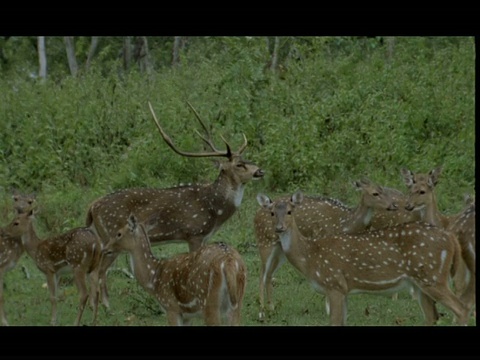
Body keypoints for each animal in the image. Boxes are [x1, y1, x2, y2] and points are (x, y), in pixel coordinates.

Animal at [87, 102, 266, 310]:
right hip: (110, 235)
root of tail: (92, 207)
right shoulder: (194, 232)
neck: (214, 210)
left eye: (246, 159)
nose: (260, 171)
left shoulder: (204, 236)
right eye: (238, 165)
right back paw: (104, 307)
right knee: (98, 271)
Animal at [104, 214, 248, 326]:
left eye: (118, 233)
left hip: (209, 302)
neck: (154, 278)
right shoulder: (187, 315)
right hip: (237, 302)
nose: (106, 249)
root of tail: (229, 261)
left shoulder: (171, 307)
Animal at [253, 178, 414, 320]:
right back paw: (261, 311)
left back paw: (272, 307)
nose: (394, 205)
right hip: (265, 241)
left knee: (269, 274)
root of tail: (255, 216)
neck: (344, 223)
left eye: (384, 190)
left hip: (279, 250)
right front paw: (328, 309)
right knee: (261, 273)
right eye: (375, 193)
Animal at [256, 191, 470, 326]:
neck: (310, 257)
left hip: (432, 276)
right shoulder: (344, 289)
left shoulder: (334, 283)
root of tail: (450, 238)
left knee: (461, 308)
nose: (279, 228)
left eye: (290, 211)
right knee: (433, 316)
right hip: (420, 283)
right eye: (272, 212)